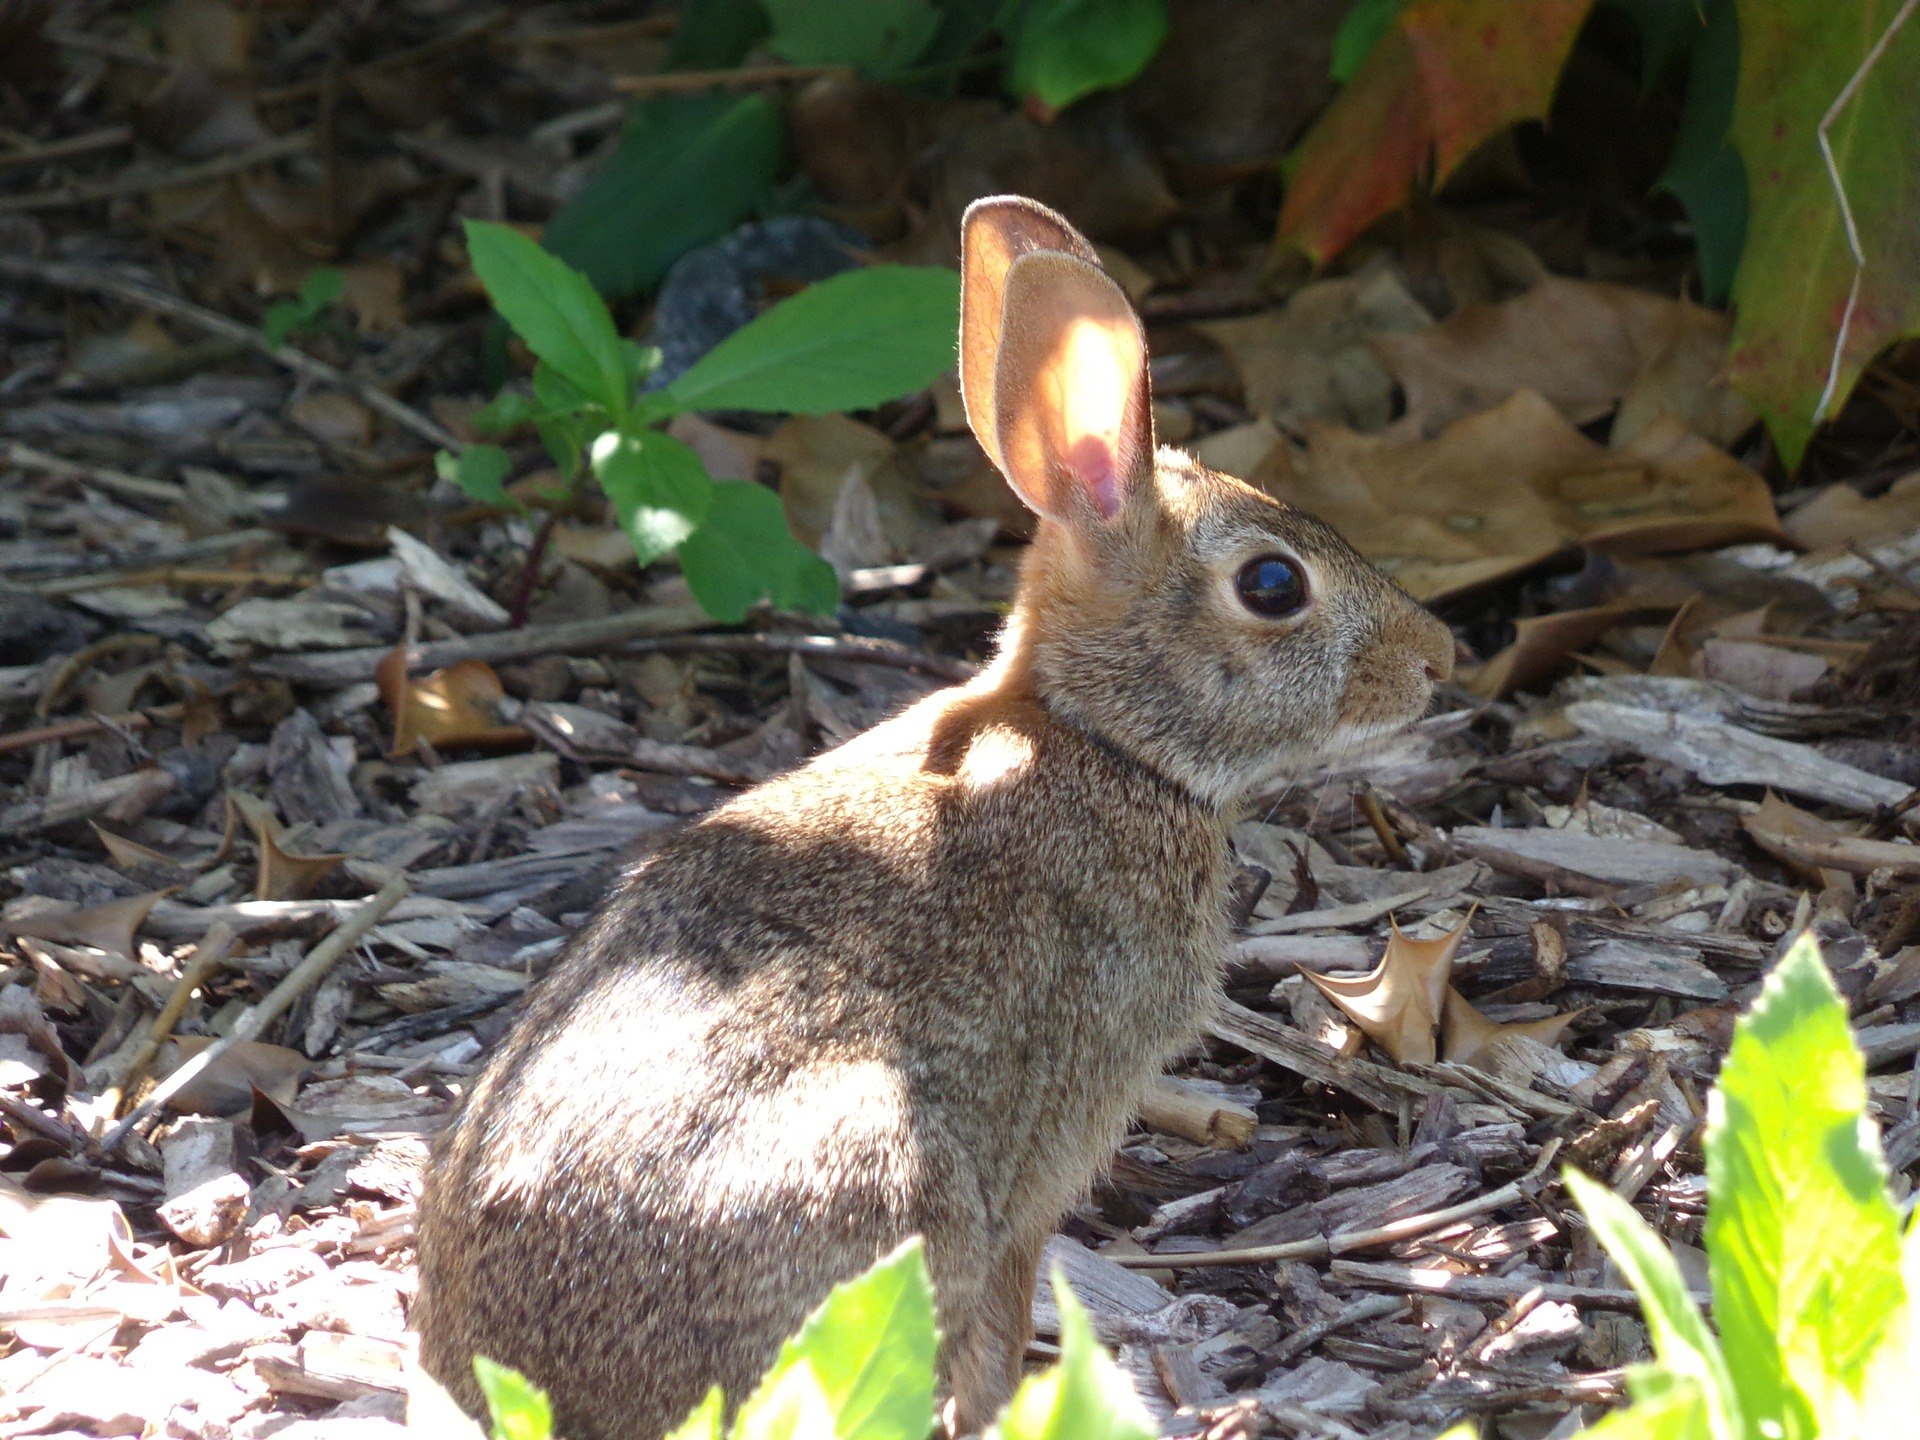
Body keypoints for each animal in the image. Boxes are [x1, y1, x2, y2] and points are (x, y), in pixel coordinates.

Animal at [413, 195, 1454, 1440]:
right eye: (1272, 586)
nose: (1442, 660)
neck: (1102, 740)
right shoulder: (1053, 1138)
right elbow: (1007, 1304)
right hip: (885, 1187)